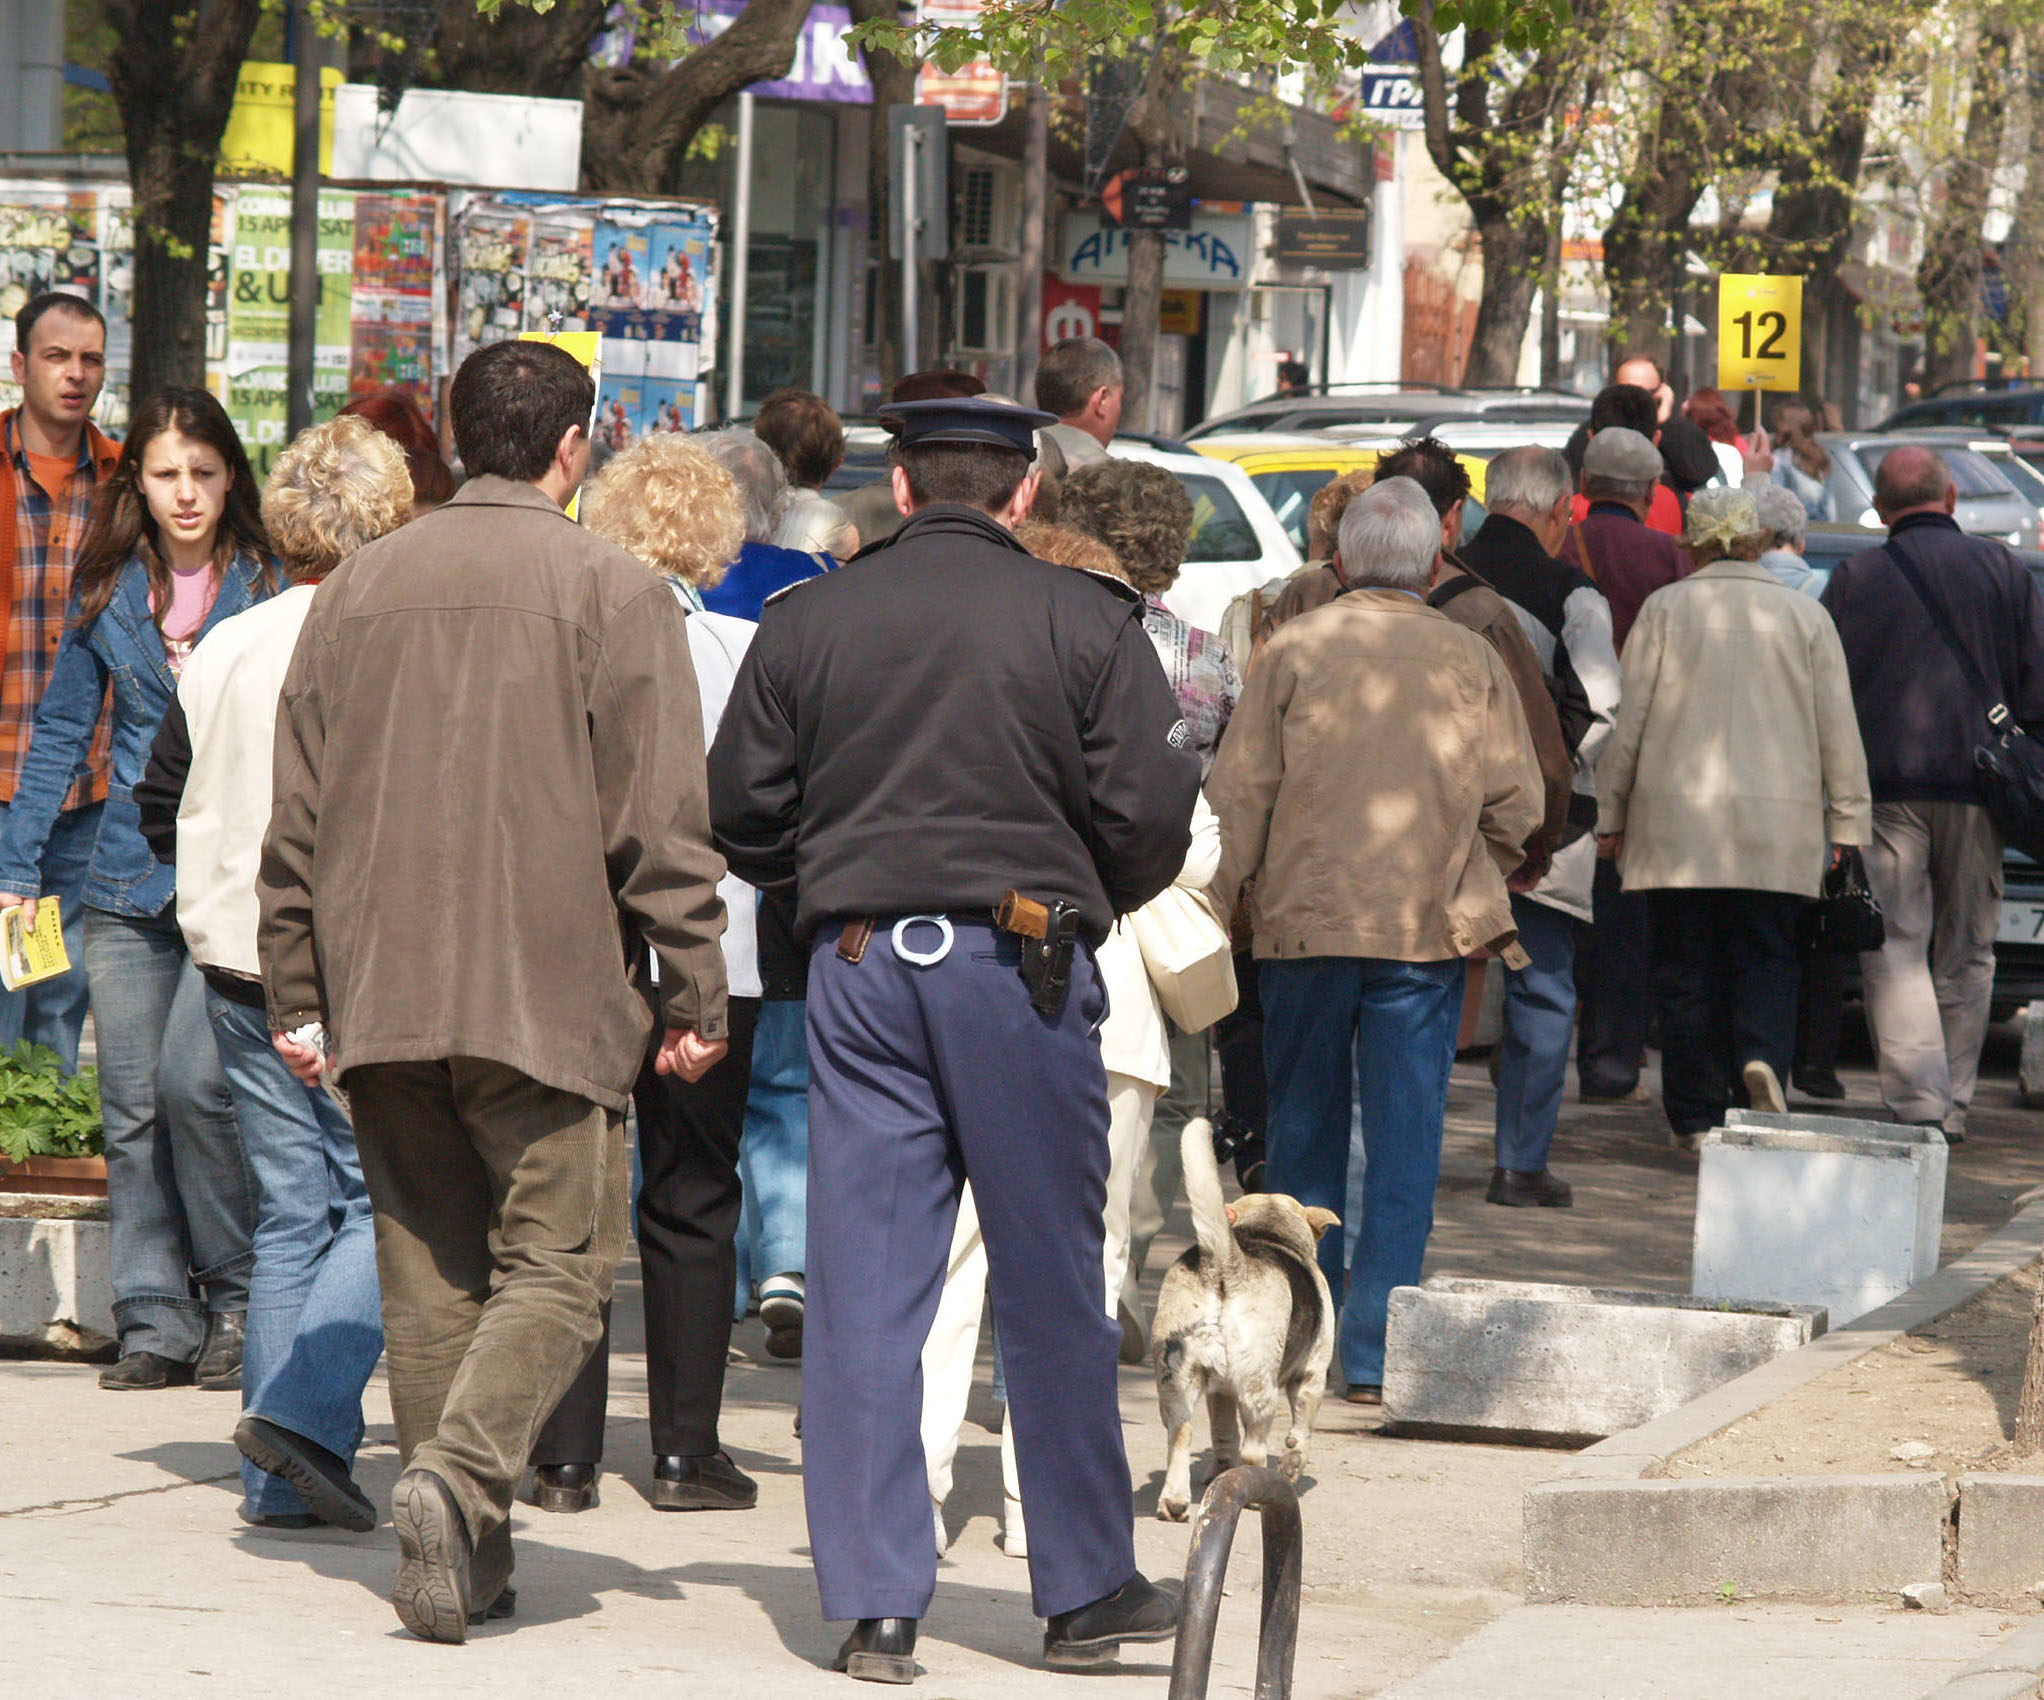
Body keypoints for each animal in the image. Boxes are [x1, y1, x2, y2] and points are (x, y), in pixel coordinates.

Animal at [1152, 1111, 1340, 1520]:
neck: (1267, 1232)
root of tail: (1224, 1261)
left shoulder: (1219, 1391)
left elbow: (1223, 1436)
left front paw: (1218, 1473)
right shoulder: (1312, 1376)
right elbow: (1301, 1432)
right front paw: (1292, 1465)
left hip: (1175, 1381)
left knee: (1181, 1436)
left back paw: (1176, 1501)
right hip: (1259, 1387)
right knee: (1254, 1449)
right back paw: (1259, 1491)